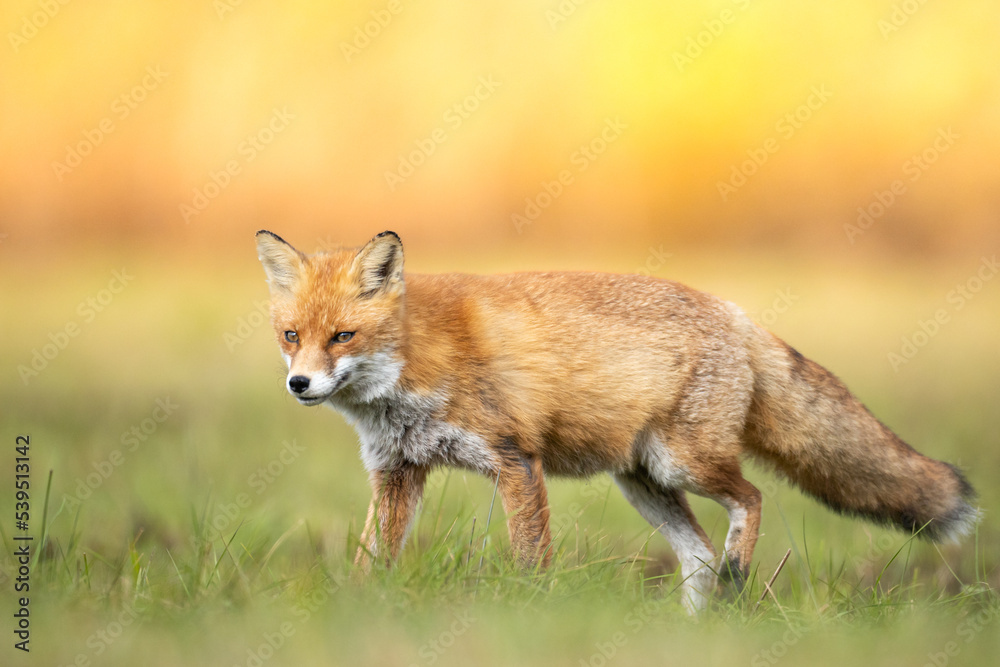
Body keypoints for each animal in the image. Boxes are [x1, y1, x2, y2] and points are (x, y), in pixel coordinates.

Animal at [252, 228, 976, 612]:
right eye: (291, 336)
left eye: (343, 336)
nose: (299, 384)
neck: (415, 363)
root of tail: (734, 309)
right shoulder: (397, 472)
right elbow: (371, 558)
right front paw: (359, 610)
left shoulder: (514, 458)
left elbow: (530, 557)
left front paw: (530, 615)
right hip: (643, 481)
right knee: (699, 554)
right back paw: (692, 631)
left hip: (683, 463)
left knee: (751, 498)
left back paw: (736, 578)